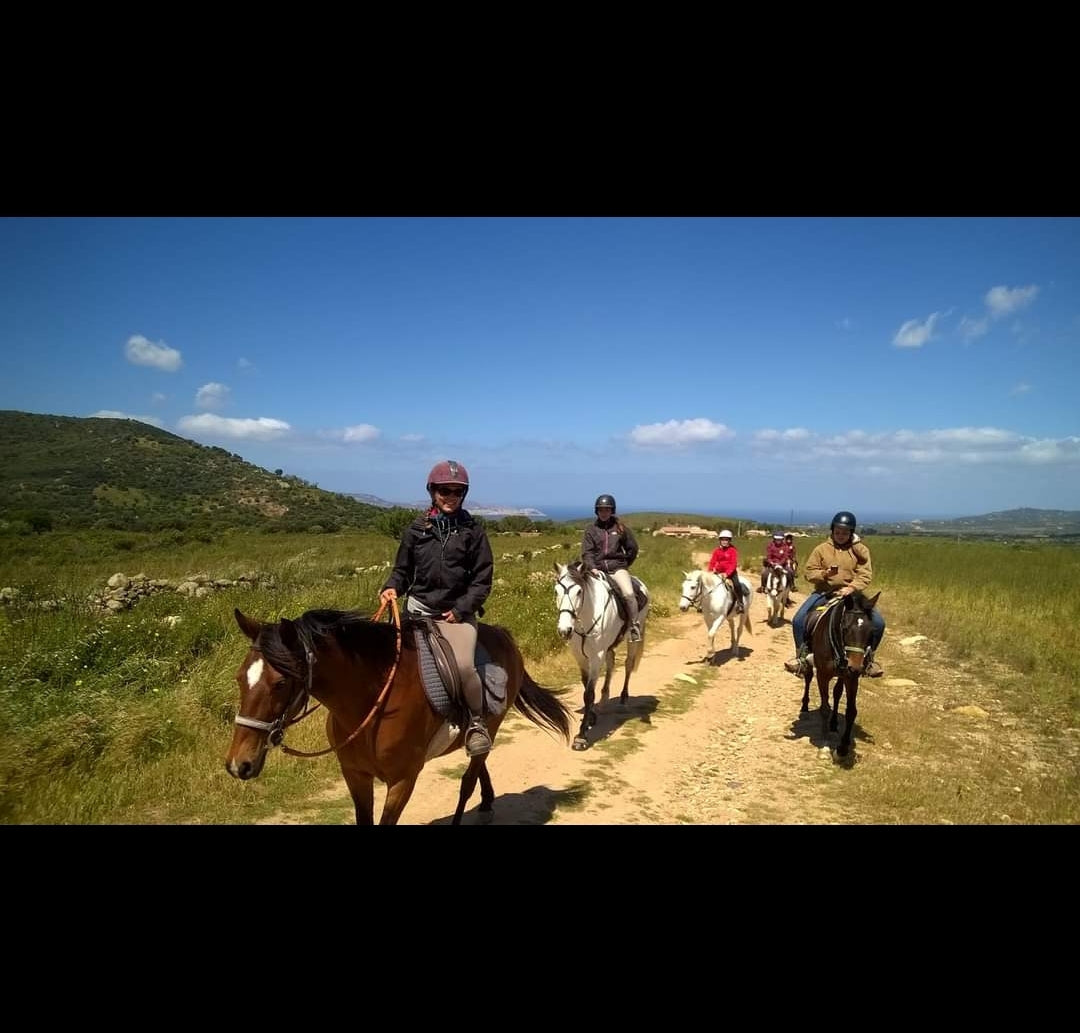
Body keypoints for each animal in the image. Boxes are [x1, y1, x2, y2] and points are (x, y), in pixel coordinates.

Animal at [225, 605, 574, 821]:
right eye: (240, 677)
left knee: (468, 780)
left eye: (280, 683)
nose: (238, 765)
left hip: (494, 723)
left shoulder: (403, 781)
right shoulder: (356, 775)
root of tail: (504, 635)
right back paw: (487, 801)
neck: (370, 705)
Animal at [557, 566, 648, 752]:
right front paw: (591, 717)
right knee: (611, 662)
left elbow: (589, 693)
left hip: (634, 637)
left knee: (628, 665)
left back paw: (623, 699)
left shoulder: (596, 657)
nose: (564, 630)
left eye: (579, 592)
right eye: (556, 591)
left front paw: (581, 736)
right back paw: (605, 698)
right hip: (608, 648)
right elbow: (585, 686)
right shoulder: (580, 657)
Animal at [799, 587, 881, 760]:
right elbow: (824, 708)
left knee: (837, 693)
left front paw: (843, 748)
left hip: (844, 674)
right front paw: (824, 744)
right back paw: (805, 707)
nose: (855, 667)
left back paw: (834, 723)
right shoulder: (823, 675)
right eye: (845, 628)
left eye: (871, 631)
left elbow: (851, 711)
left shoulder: (852, 678)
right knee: (808, 678)